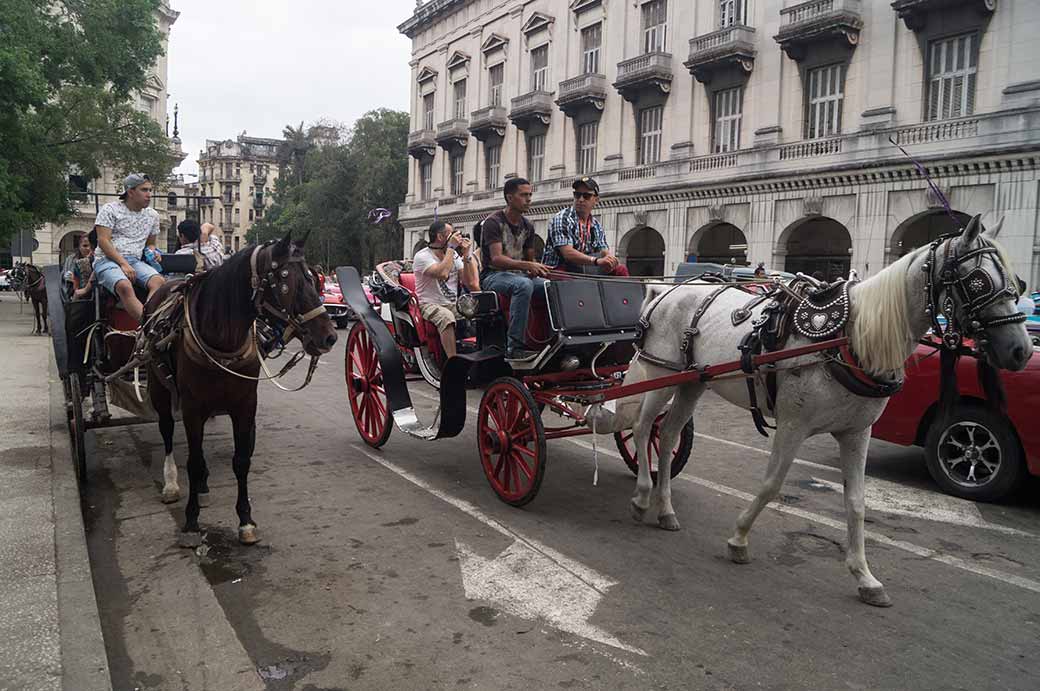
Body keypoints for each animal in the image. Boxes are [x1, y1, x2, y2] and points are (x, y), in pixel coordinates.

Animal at [143, 232, 332, 545]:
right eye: (287, 283)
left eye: (314, 279)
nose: (329, 337)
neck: (222, 338)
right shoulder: (193, 408)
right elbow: (193, 462)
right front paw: (191, 521)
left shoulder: (244, 405)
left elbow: (241, 461)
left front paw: (245, 520)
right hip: (159, 386)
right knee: (167, 429)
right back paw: (171, 482)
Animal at [619, 214, 1027, 603]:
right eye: (977, 280)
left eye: (1017, 283)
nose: (1020, 350)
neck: (849, 339)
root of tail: (665, 289)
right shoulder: (792, 425)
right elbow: (771, 484)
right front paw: (739, 538)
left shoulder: (856, 432)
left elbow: (857, 503)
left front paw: (865, 576)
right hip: (661, 375)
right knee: (641, 427)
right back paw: (640, 497)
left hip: (692, 383)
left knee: (667, 435)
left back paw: (665, 508)